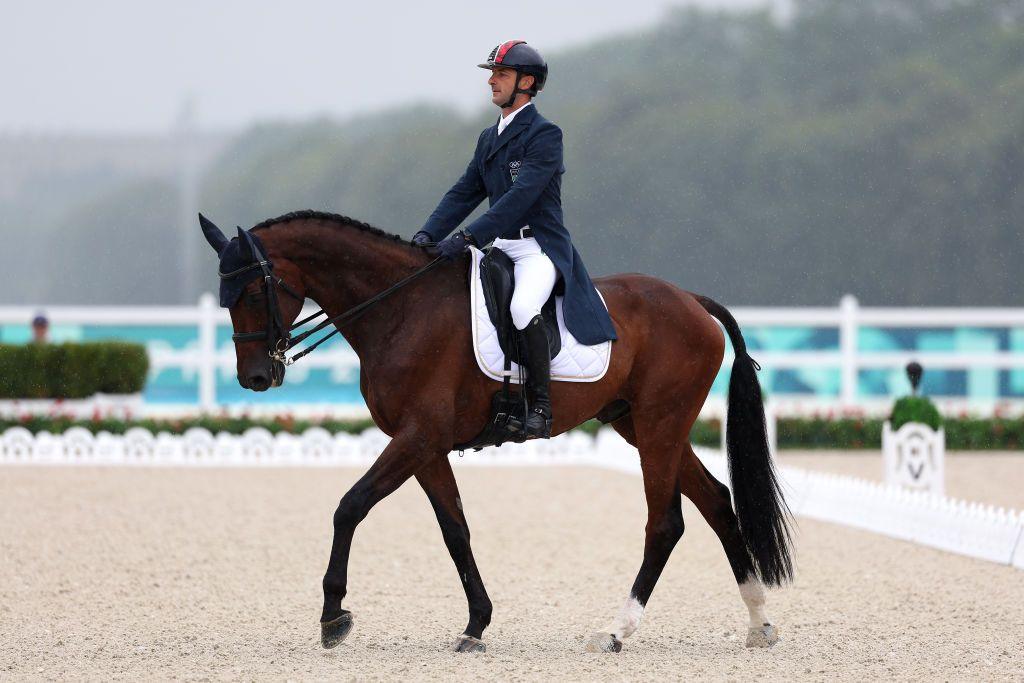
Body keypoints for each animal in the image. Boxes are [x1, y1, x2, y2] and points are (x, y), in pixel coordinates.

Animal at [199, 209, 793, 653]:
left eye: (252, 293)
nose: (255, 378)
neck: (400, 307)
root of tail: (692, 300)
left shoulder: (417, 437)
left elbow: (349, 506)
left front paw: (332, 615)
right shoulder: (427, 446)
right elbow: (454, 530)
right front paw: (476, 624)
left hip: (659, 425)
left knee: (666, 523)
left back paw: (616, 630)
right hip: (640, 425)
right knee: (717, 502)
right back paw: (759, 622)